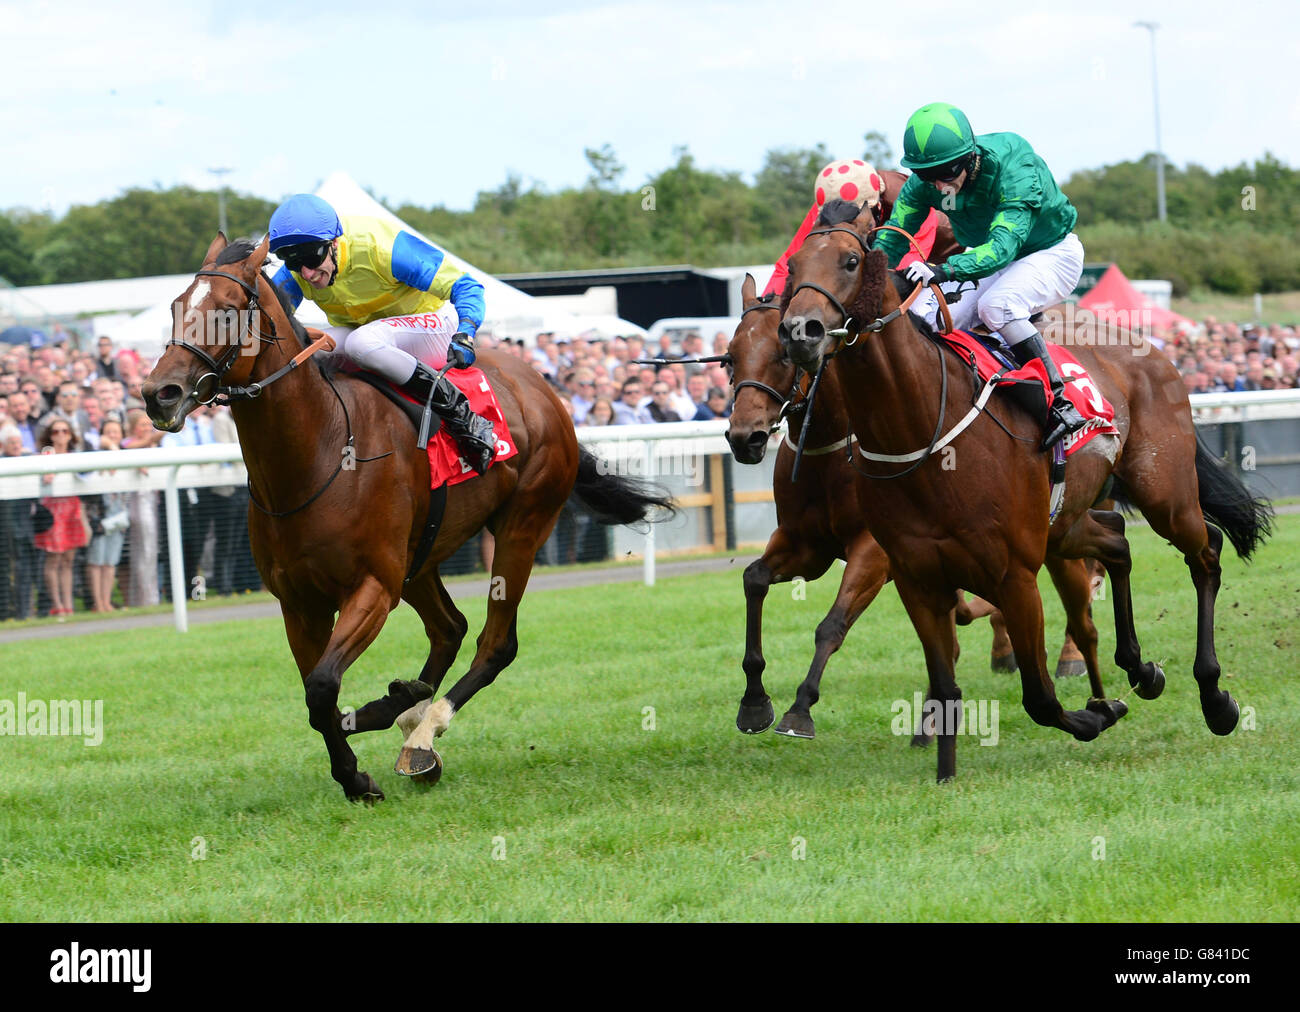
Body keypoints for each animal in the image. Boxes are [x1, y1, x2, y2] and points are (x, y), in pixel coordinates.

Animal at [142, 232, 670, 801]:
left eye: (228, 309)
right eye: (176, 308)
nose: (159, 394)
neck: (319, 454)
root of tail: (542, 387)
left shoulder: (374, 586)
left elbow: (323, 688)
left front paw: (372, 746)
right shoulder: (299, 604)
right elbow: (318, 696)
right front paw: (359, 768)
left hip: (521, 525)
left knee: (494, 643)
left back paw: (423, 731)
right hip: (422, 556)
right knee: (450, 629)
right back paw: (415, 719)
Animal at [728, 271, 1102, 738]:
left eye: (782, 355)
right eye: (729, 359)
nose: (745, 437)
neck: (833, 446)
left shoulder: (874, 550)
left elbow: (832, 624)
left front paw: (800, 707)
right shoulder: (805, 544)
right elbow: (753, 580)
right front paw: (754, 702)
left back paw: (1069, 656)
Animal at [774, 206, 1274, 780]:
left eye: (851, 261)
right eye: (793, 268)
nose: (799, 331)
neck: (920, 429)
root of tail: (1151, 350)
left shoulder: (1014, 576)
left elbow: (1039, 696)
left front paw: (1099, 713)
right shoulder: (916, 579)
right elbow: (945, 688)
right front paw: (945, 777)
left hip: (1164, 495)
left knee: (1206, 550)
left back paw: (1215, 698)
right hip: (1066, 522)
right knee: (1118, 540)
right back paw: (1140, 668)